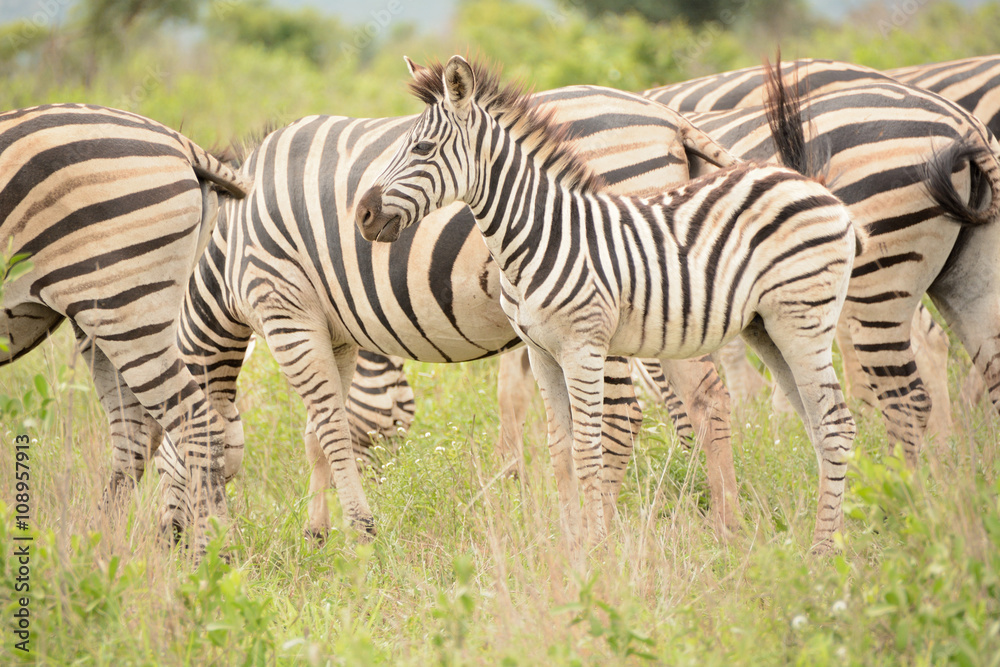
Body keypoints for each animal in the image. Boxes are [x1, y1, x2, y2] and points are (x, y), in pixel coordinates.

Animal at [0, 103, 251, 551]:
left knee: (196, 426)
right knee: (135, 435)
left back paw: (211, 558)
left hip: (126, 306)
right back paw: (95, 550)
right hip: (104, 315)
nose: (171, 539)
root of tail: (182, 144)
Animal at [147, 83, 746, 541]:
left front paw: (359, 533)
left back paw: (608, 528)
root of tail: (667, 116)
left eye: (159, 460)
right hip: (670, 298)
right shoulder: (330, 328)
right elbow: (319, 432)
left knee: (624, 416)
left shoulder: (284, 310)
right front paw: (317, 535)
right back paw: (721, 520)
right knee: (706, 395)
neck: (227, 247)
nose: (166, 545)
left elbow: (331, 429)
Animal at [356, 55, 862, 552]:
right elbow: (558, 448)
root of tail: (809, 182)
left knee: (835, 423)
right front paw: (570, 546)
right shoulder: (541, 353)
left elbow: (588, 447)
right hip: (765, 327)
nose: (362, 214)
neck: (541, 236)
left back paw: (824, 550)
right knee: (815, 424)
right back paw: (819, 538)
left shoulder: (583, 347)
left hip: (803, 320)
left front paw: (597, 548)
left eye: (422, 149)